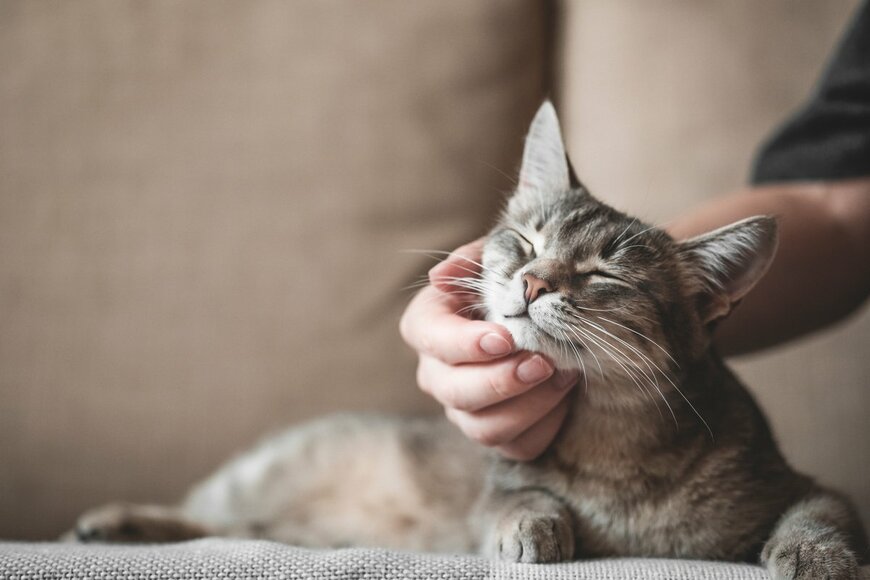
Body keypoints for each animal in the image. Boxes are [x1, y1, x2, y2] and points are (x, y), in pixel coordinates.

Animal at [71, 102, 868, 576]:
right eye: (526, 242)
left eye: (603, 274)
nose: (534, 283)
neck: (612, 449)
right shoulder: (498, 485)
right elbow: (517, 498)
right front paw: (533, 524)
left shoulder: (807, 487)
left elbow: (821, 515)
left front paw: (815, 557)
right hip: (260, 476)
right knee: (210, 515)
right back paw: (113, 521)